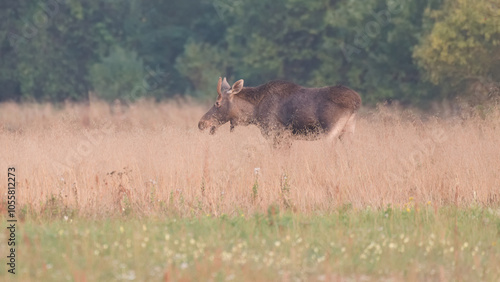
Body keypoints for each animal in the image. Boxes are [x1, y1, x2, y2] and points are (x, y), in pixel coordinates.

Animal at [197, 77, 362, 147]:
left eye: (217, 103)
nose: (201, 123)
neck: (255, 112)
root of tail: (357, 101)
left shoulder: (278, 134)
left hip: (330, 132)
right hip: (347, 132)